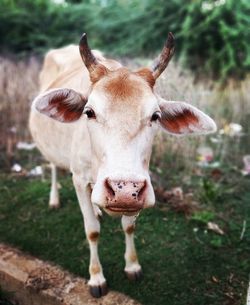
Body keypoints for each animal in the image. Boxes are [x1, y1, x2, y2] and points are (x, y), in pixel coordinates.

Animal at [29, 33, 217, 296]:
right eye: (89, 112)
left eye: (155, 116)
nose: (124, 190)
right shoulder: (79, 179)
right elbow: (92, 230)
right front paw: (96, 278)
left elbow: (128, 227)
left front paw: (132, 266)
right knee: (54, 166)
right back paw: (54, 199)